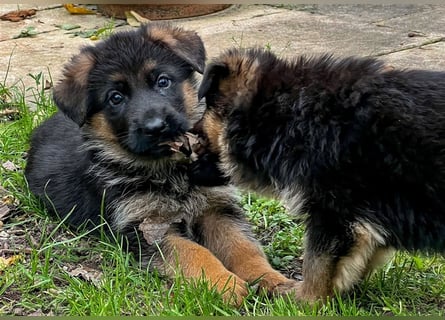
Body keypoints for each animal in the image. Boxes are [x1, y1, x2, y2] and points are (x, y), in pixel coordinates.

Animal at [22, 25, 296, 304]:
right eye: (115, 98)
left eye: (163, 81)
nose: (156, 127)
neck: (170, 171)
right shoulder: (146, 227)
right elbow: (194, 252)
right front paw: (225, 284)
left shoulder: (217, 208)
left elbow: (243, 246)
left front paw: (270, 278)